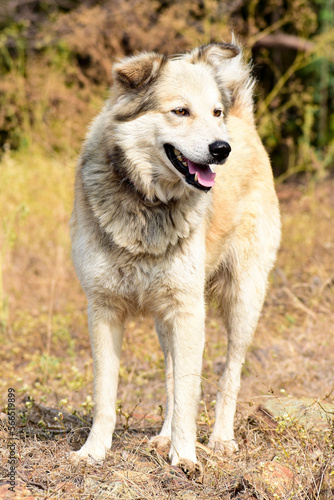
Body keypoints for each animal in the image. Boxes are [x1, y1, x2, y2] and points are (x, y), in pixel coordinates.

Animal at [70, 41, 282, 470]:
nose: (222, 149)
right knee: (171, 376)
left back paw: (219, 439)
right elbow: (105, 395)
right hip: (166, 319)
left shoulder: (188, 310)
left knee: (229, 374)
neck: (147, 203)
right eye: (180, 111)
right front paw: (94, 451)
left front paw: (185, 457)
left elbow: (190, 393)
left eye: (214, 113)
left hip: (242, 301)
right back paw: (165, 436)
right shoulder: (103, 309)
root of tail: (241, 119)